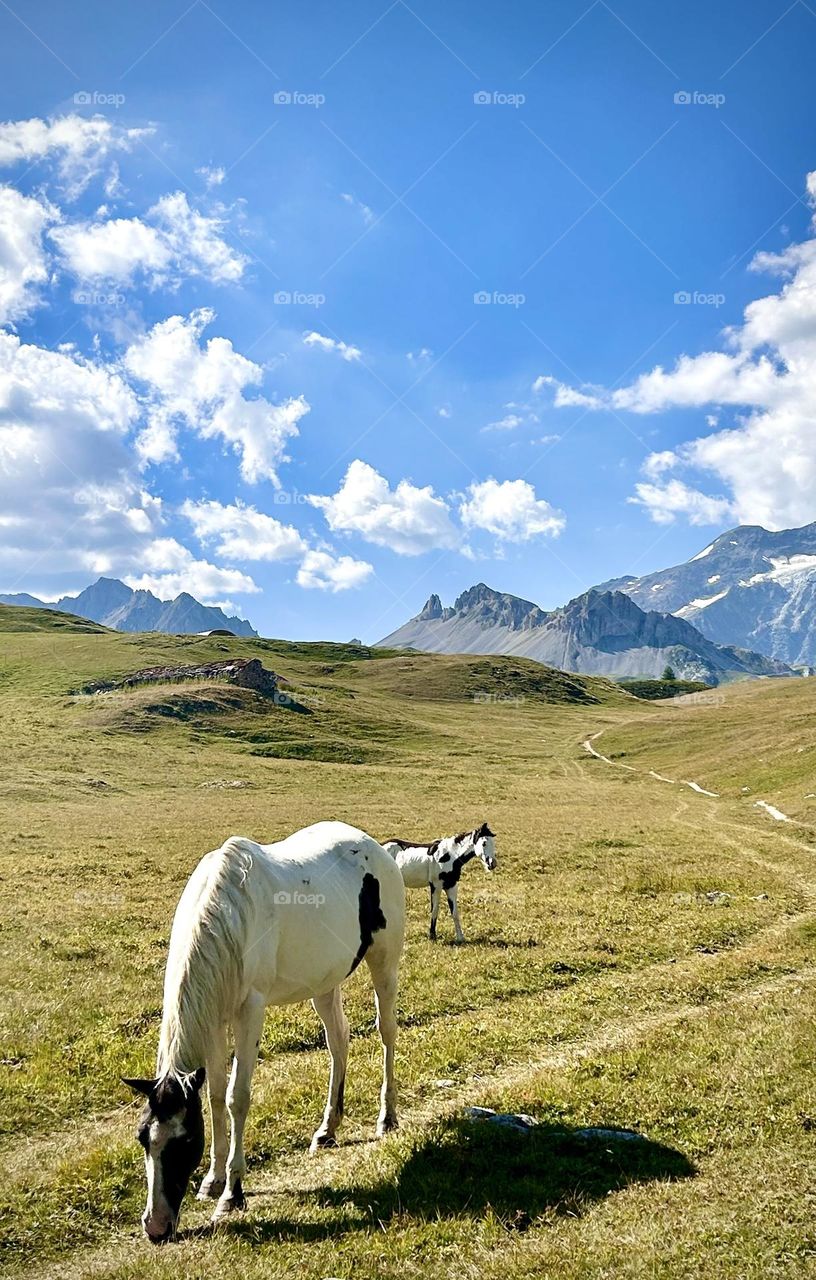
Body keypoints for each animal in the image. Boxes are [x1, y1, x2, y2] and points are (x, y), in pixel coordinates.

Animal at [122, 821, 405, 1242]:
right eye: (144, 1138)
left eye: (184, 1141)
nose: (156, 1227)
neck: (226, 915)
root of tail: (376, 848)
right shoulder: (214, 1020)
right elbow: (215, 1096)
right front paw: (212, 1179)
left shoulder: (249, 1014)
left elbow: (236, 1098)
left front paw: (232, 1192)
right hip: (324, 983)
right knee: (338, 1042)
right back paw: (328, 1128)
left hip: (384, 964)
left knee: (387, 1033)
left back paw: (387, 1116)